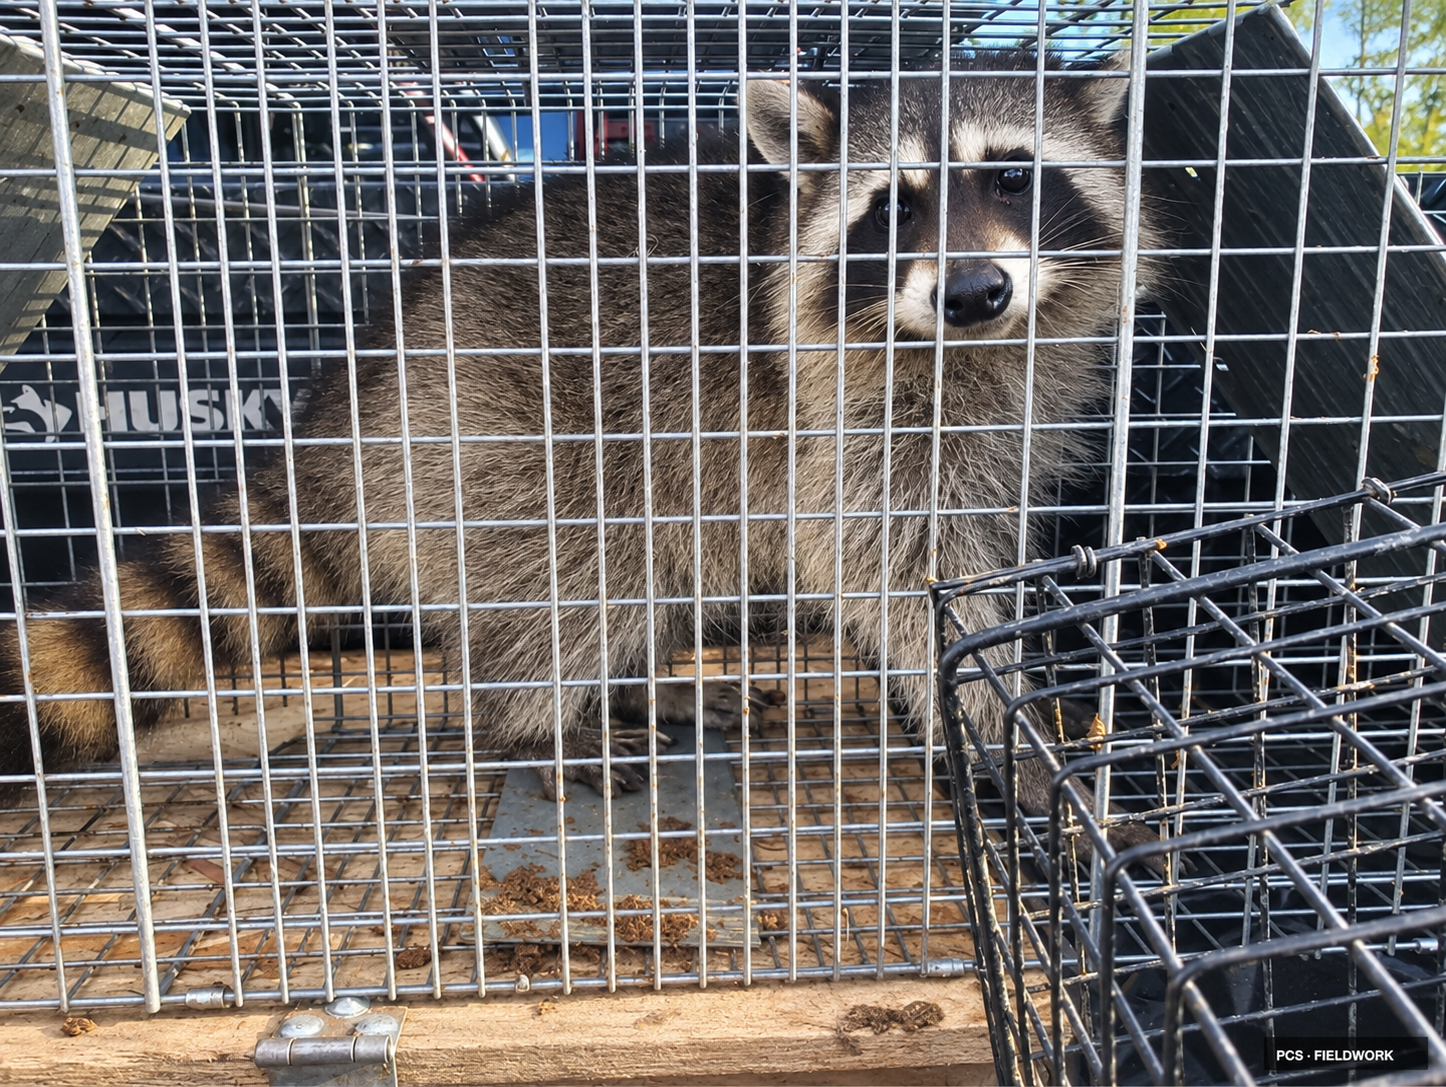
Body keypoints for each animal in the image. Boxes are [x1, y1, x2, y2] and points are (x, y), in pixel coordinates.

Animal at [0, 52, 1159, 856]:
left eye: (1011, 178)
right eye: (895, 205)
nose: (973, 291)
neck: (967, 346)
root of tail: (353, 399)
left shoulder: (1004, 395)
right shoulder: (853, 423)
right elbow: (908, 581)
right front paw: (1013, 735)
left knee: (650, 571)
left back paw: (643, 684)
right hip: (505, 432)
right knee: (567, 575)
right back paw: (538, 718)